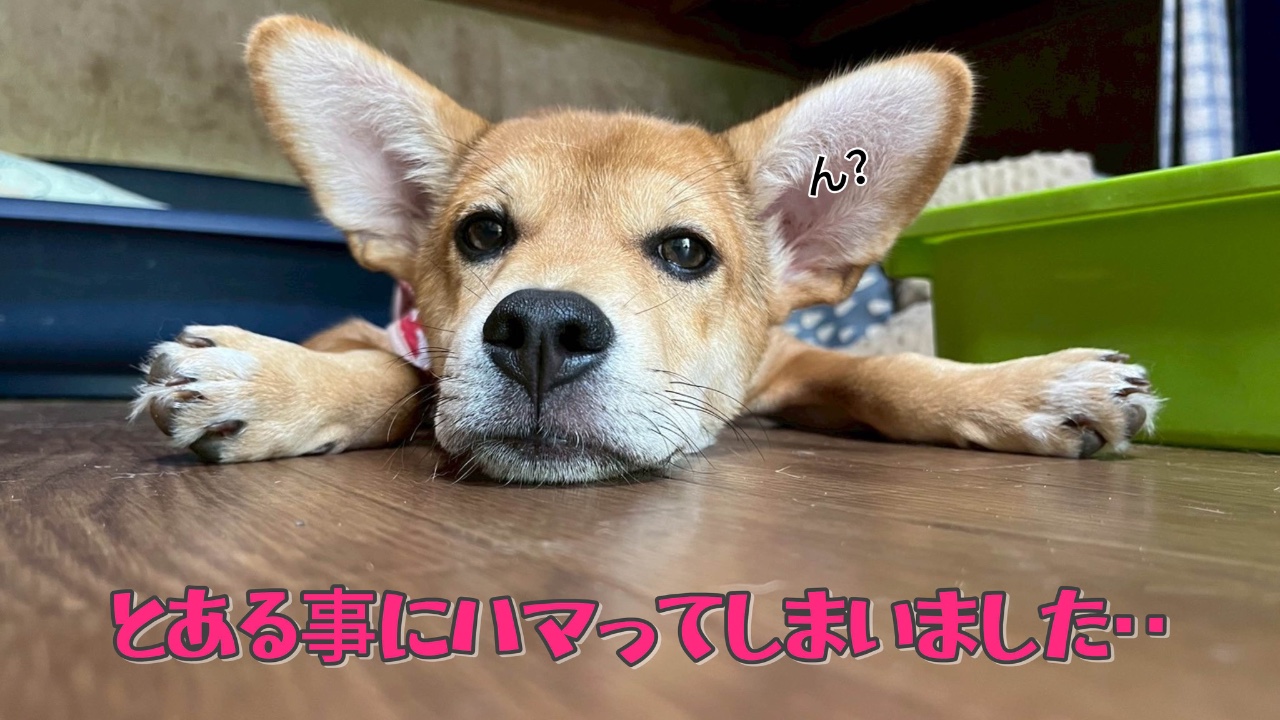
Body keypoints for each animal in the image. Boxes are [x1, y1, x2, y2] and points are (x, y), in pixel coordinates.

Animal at [132, 15, 1159, 484]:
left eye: (687, 251)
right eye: (481, 232)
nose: (542, 331)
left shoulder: (790, 358)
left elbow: (885, 372)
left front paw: (1034, 387)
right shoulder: (370, 332)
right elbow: (394, 374)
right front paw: (265, 380)